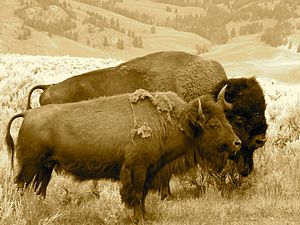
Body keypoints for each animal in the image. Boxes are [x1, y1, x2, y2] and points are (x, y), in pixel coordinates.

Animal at [5, 88, 241, 221]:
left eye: (226, 118)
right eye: (213, 124)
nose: (237, 143)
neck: (175, 121)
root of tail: (28, 113)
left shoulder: (149, 171)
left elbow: (143, 196)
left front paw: (145, 216)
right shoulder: (137, 169)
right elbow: (135, 195)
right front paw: (138, 218)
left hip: (45, 168)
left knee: (39, 190)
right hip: (30, 166)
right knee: (21, 188)